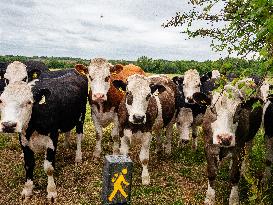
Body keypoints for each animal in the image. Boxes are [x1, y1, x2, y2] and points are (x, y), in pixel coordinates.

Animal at [0, 63, 87, 201]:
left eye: (28, 102)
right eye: (1, 101)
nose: (8, 125)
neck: (32, 127)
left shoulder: (52, 138)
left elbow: (49, 168)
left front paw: (51, 191)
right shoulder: (24, 141)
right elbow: (28, 165)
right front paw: (27, 189)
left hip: (81, 116)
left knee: (79, 135)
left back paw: (78, 156)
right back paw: (66, 144)